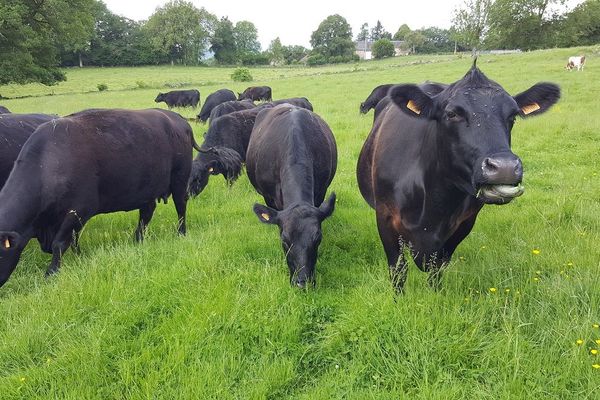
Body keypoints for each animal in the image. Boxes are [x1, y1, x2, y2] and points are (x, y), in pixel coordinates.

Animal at [0, 108, 202, 286]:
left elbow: (60, 243)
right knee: (146, 213)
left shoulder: (78, 211)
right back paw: (137, 239)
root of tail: (177, 119)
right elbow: (72, 240)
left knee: (180, 206)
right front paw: (78, 256)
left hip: (179, 180)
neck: (48, 164)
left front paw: (52, 272)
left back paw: (180, 233)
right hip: (147, 190)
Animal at [356, 63, 556, 294]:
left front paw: (435, 295)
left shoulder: (464, 223)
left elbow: (437, 268)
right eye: (452, 114)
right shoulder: (385, 217)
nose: (504, 167)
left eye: (513, 116)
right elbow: (398, 270)